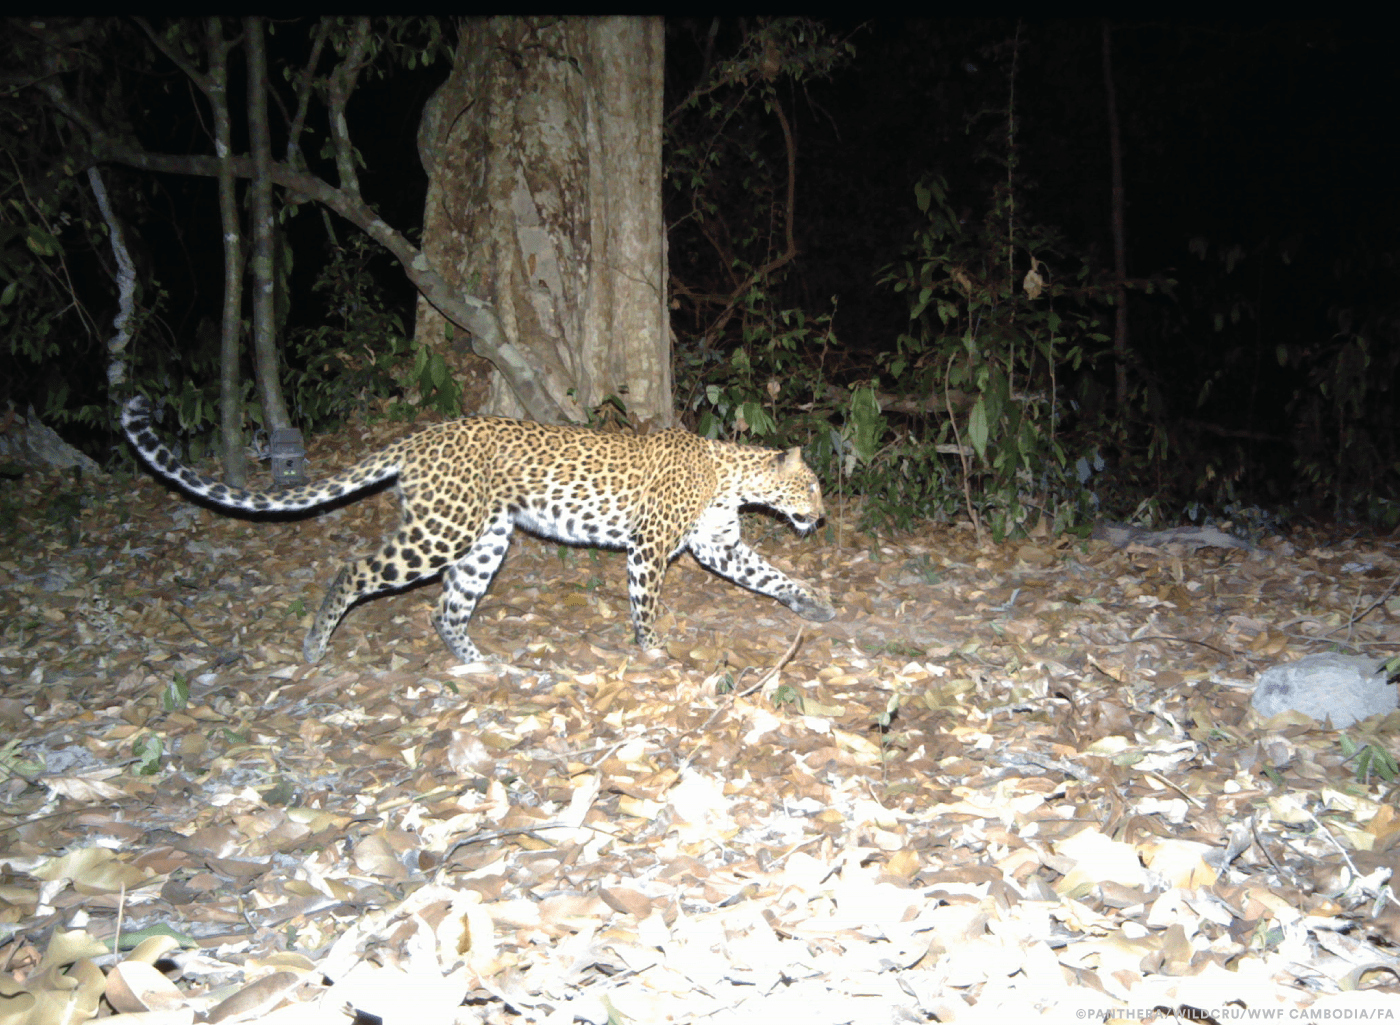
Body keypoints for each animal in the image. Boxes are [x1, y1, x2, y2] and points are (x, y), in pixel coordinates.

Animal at [117, 392, 828, 663]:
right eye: (814, 485)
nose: (821, 516)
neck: (731, 476)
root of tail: (420, 436)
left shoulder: (720, 547)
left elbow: (769, 575)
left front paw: (814, 604)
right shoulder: (650, 547)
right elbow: (646, 602)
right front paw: (652, 650)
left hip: (486, 539)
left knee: (446, 607)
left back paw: (478, 663)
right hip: (440, 531)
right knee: (355, 568)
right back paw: (316, 643)